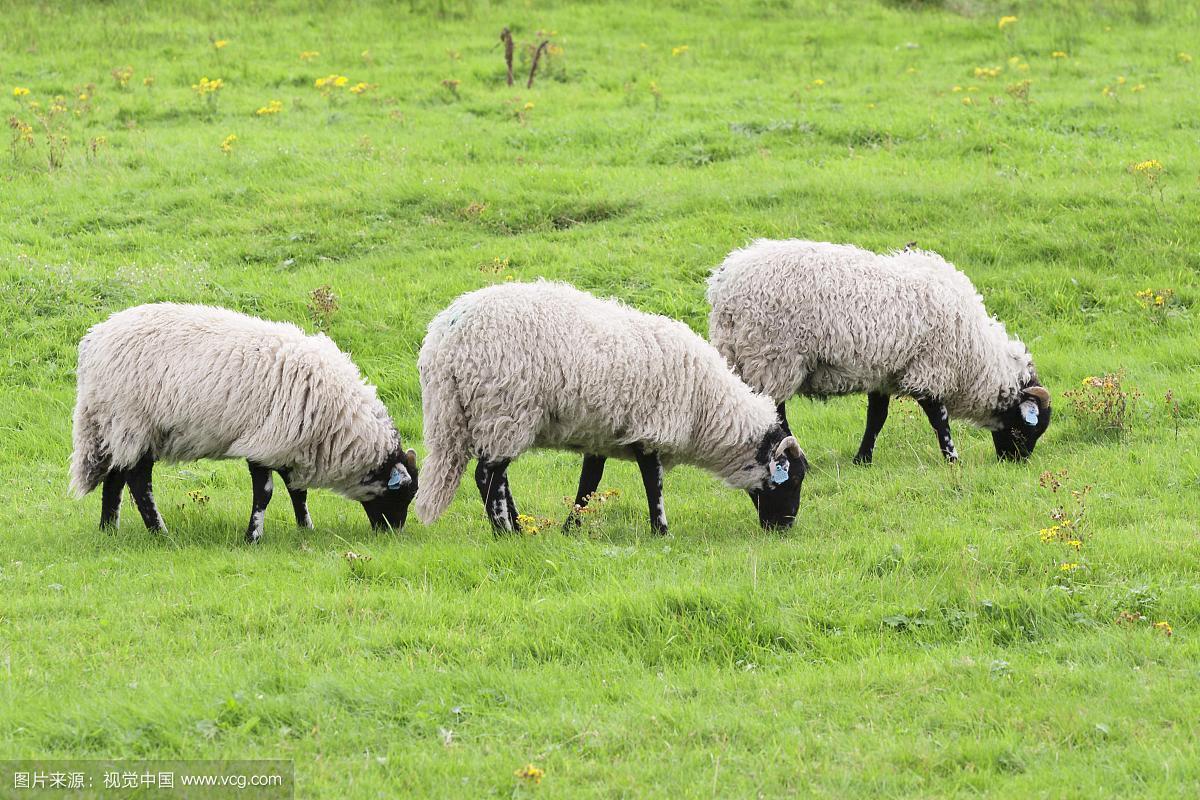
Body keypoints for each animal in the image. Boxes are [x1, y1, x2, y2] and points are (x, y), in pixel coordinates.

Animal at [70, 303, 420, 542]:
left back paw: (108, 529)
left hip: (117, 425)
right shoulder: (264, 442)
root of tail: (93, 341)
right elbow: (265, 493)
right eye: (402, 495)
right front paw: (253, 536)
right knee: (138, 482)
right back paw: (160, 532)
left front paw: (305, 527)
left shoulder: (284, 444)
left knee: (116, 477)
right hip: (132, 420)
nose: (393, 534)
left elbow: (297, 491)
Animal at [410, 278, 806, 534]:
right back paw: (506, 532)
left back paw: (518, 526)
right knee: (486, 476)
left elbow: (589, 483)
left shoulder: (599, 434)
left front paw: (571, 527)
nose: (784, 528)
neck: (705, 408)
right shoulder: (650, 428)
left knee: (497, 476)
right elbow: (653, 482)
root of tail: (443, 341)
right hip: (505, 409)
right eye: (793, 479)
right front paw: (661, 530)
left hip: (484, 416)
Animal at [705, 237, 1056, 462]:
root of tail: (724, 285)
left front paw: (863, 458)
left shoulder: (884, 373)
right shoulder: (929, 367)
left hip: (742, 356)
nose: (1016, 462)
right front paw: (952, 457)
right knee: (778, 412)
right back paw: (800, 460)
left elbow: (877, 417)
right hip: (772, 356)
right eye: (1028, 428)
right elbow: (939, 418)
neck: (976, 354)